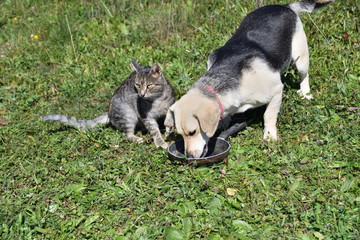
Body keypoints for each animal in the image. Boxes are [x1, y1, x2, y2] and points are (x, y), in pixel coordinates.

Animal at [43, 60, 175, 148]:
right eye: (137, 85)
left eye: (149, 86)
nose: (141, 94)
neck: (157, 100)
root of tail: (108, 111)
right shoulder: (146, 116)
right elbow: (154, 130)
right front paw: (160, 142)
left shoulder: (171, 107)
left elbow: (170, 120)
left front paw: (169, 131)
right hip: (127, 114)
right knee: (127, 134)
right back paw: (137, 139)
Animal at [165, 0, 334, 158]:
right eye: (181, 134)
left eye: (192, 132)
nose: (188, 157)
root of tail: (284, 6)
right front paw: (224, 121)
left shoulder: (276, 91)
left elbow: (268, 115)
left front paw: (269, 135)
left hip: (301, 57)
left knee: (304, 75)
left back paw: (305, 93)